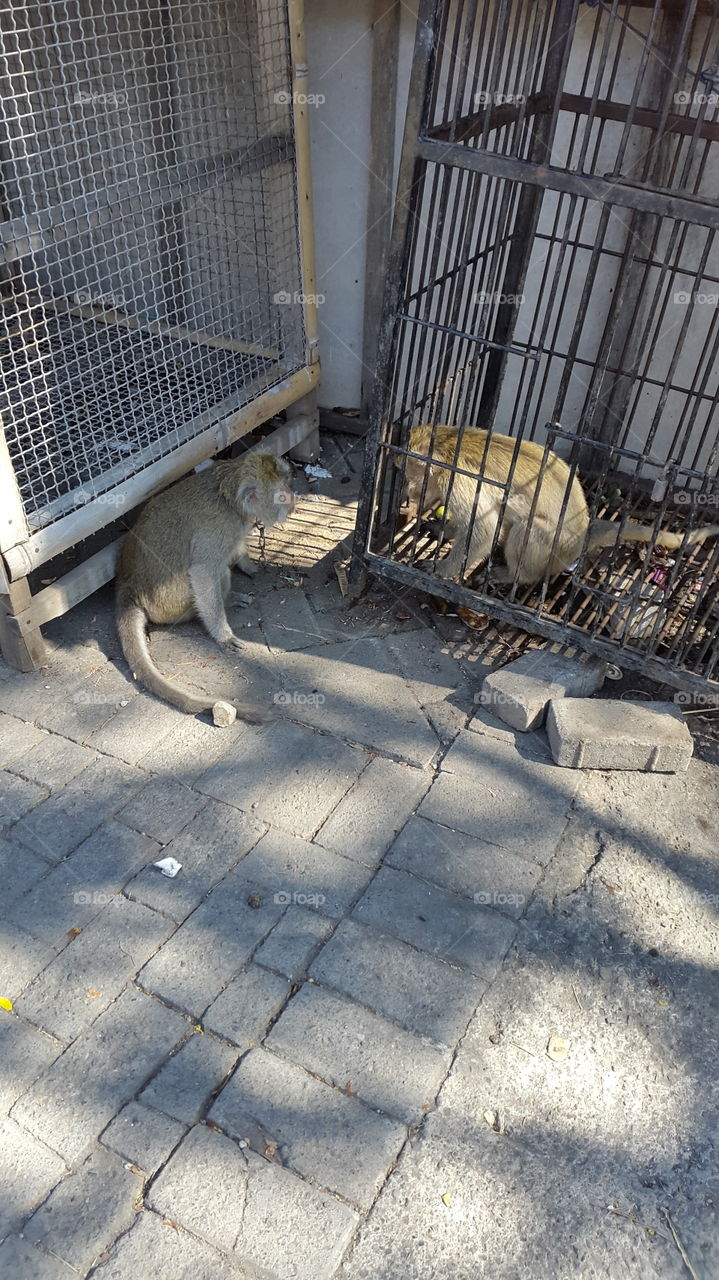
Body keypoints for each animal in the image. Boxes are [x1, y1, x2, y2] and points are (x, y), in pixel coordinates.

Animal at [116, 451, 296, 717]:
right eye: (281, 493)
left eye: (287, 481)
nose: (293, 501)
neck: (230, 499)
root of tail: (129, 584)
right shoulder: (219, 529)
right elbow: (203, 572)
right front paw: (223, 636)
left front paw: (247, 564)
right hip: (172, 605)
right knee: (218, 571)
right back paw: (229, 600)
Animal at [400, 425, 719, 585]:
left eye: (410, 474)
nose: (409, 491)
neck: (447, 443)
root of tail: (584, 534)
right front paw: (444, 529)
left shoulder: (459, 478)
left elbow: (483, 529)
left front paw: (441, 568)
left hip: (555, 550)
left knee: (526, 527)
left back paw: (516, 577)